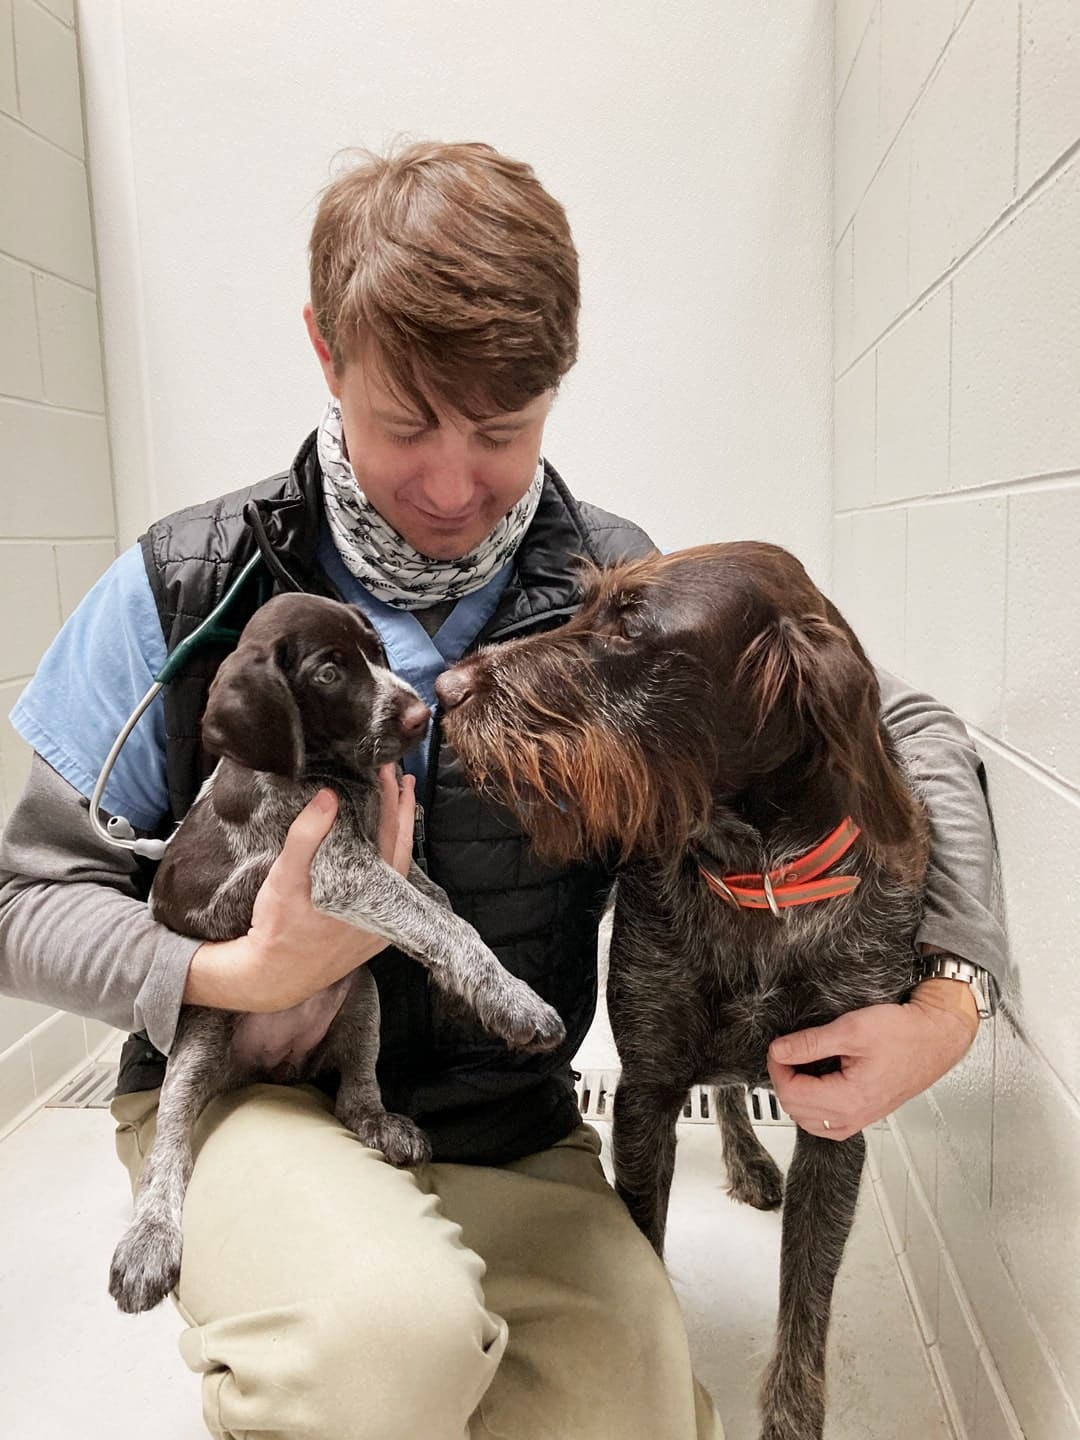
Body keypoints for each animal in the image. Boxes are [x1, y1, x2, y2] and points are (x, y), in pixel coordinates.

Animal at [110, 590, 567, 1313]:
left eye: (377, 652)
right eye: (328, 673)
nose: (422, 713)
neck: (329, 771)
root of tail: (274, 1069)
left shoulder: (387, 864)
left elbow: (446, 911)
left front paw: (470, 993)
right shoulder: (342, 869)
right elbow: (444, 925)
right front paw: (515, 1004)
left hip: (360, 999)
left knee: (356, 1096)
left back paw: (385, 1125)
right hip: (198, 1045)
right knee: (170, 1153)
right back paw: (150, 1240)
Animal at [434, 544, 933, 1440]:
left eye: (630, 625)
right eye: (584, 605)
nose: (449, 690)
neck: (755, 873)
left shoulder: (841, 1114)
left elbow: (807, 1306)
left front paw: (793, 1418)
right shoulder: (649, 1089)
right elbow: (646, 1239)